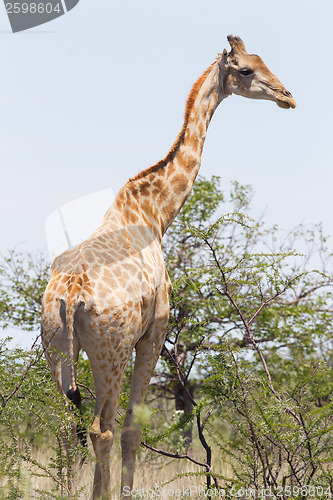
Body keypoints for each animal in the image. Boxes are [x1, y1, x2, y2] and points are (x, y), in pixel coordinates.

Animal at [40, 36, 294, 500]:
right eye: (246, 69)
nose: (288, 96)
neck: (157, 212)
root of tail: (69, 296)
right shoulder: (154, 332)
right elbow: (132, 430)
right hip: (110, 349)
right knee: (100, 428)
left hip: (56, 347)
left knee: (68, 428)